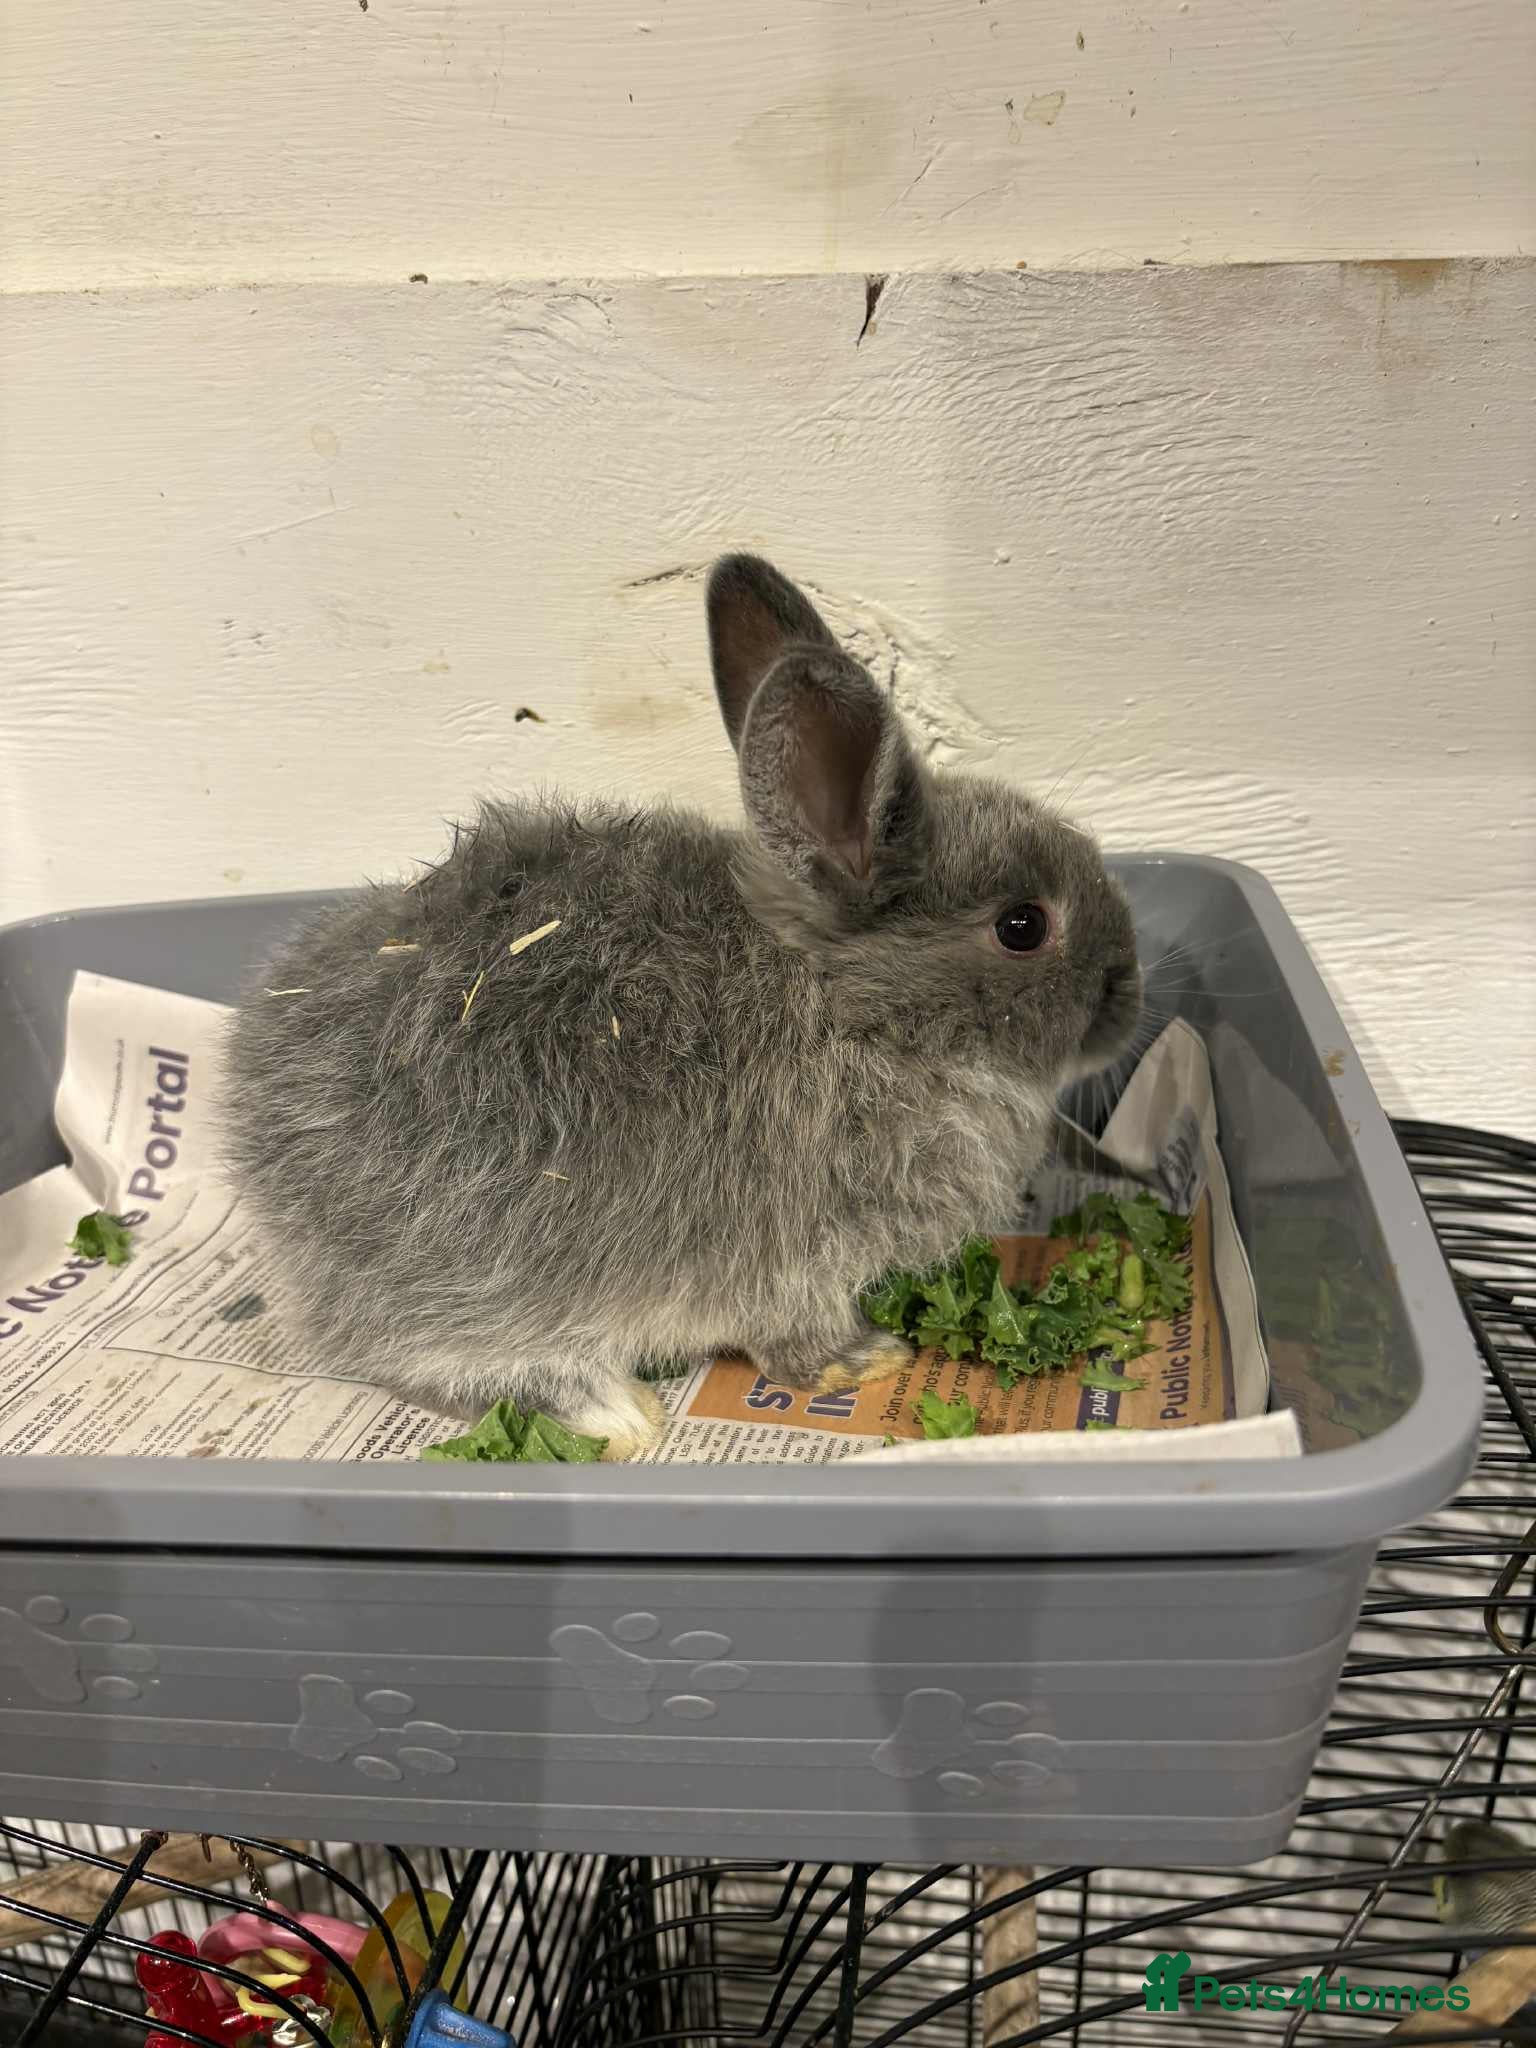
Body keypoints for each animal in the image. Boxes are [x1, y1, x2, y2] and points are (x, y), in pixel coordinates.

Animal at [221, 555, 1143, 1457]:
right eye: (1023, 926)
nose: (1130, 999)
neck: (859, 1010)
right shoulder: (801, 1261)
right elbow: (797, 1337)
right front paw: (866, 1362)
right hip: (471, 1286)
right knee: (439, 1363)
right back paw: (616, 1417)